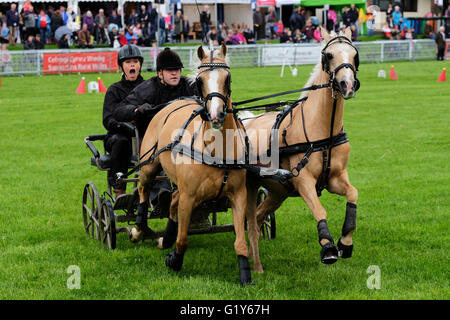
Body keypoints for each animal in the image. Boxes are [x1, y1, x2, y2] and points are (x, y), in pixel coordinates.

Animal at [130, 43, 256, 284]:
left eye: (227, 78)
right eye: (200, 80)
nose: (216, 115)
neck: (216, 150)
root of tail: (173, 103)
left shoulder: (239, 195)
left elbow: (240, 241)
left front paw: (245, 272)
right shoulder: (189, 197)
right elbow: (183, 239)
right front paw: (174, 260)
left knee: (171, 201)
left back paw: (165, 238)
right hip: (148, 164)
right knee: (143, 190)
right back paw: (139, 229)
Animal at [244, 28, 360, 272]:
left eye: (354, 55)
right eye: (329, 55)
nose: (347, 85)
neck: (323, 131)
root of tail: (245, 122)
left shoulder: (336, 178)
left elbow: (353, 194)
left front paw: (345, 243)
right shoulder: (303, 180)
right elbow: (320, 210)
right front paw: (328, 248)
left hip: (277, 192)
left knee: (258, 218)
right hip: (250, 185)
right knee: (248, 220)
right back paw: (256, 265)